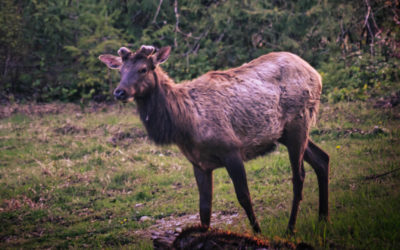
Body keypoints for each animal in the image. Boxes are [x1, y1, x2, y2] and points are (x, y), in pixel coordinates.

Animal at [98, 44, 330, 232]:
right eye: (121, 71)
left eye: (143, 69)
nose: (119, 92)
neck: (184, 124)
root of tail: (317, 74)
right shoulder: (198, 163)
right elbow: (204, 209)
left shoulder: (232, 150)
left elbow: (244, 197)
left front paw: (258, 233)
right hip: (286, 133)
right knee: (322, 159)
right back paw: (323, 218)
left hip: (298, 122)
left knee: (299, 176)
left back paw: (291, 228)